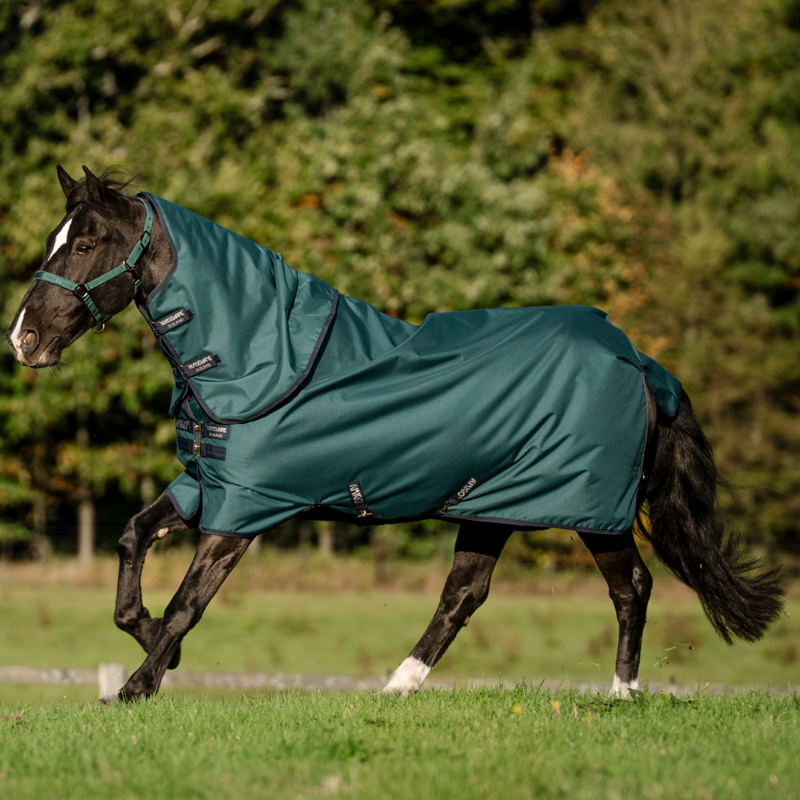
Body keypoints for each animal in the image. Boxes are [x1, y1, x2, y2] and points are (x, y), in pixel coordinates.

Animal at [6, 166, 783, 702]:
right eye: (55, 240)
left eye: (86, 242)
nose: (23, 338)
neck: (258, 353)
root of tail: (639, 360)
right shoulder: (206, 485)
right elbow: (131, 542)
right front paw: (147, 646)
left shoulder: (243, 511)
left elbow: (185, 605)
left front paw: (137, 685)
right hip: (493, 505)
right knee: (464, 594)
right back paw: (397, 687)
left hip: (591, 509)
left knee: (633, 588)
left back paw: (622, 694)